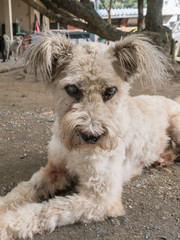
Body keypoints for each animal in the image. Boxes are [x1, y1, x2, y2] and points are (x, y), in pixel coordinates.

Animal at [0, 32, 180, 239]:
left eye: (111, 91)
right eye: (72, 89)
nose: (91, 136)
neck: (77, 151)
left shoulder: (101, 197)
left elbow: (49, 209)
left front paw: (7, 223)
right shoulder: (55, 169)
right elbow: (23, 190)